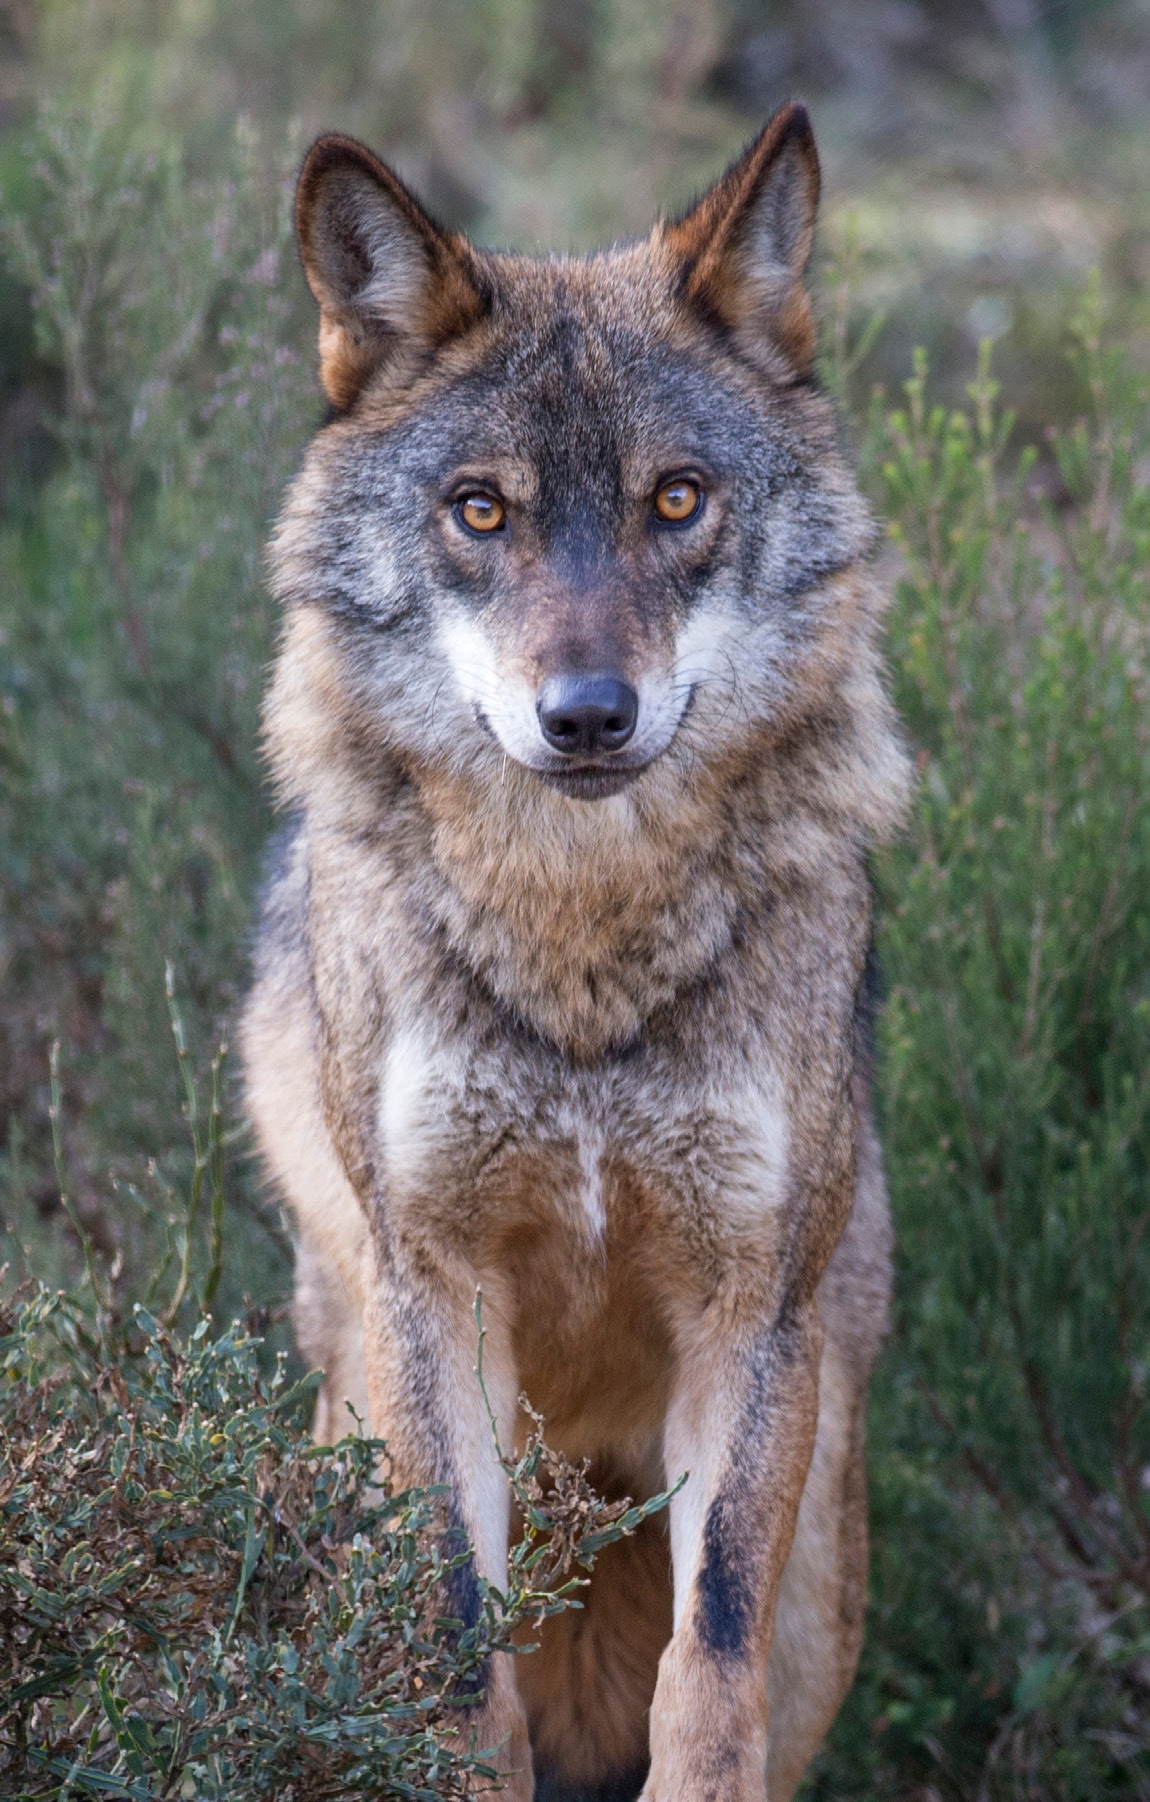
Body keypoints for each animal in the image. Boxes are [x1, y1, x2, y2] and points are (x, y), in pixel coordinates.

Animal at [241, 99, 910, 1801]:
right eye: (481, 509)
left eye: (677, 499)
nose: (588, 717)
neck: (583, 952)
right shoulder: (433, 1295)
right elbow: (459, 1662)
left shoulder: (752, 1314)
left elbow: (707, 1669)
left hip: (824, 1540)